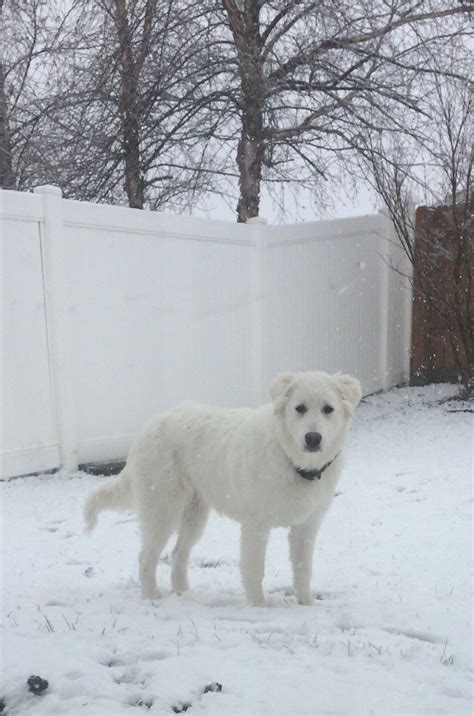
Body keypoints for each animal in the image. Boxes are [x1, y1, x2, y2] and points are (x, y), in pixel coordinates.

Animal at [84, 372, 360, 608]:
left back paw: (183, 594)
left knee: (178, 553)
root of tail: (150, 425)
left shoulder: (306, 527)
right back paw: (152, 597)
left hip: (194, 515)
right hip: (162, 509)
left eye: (328, 409)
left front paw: (307, 605)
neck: (293, 462)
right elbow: (254, 570)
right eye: (299, 408)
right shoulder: (255, 526)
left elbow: (303, 570)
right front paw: (259, 608)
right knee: (146, 557)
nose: (313, 438)